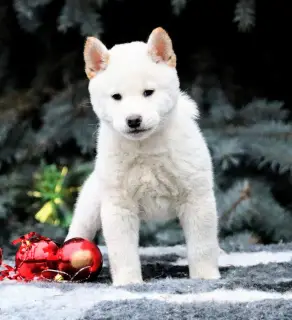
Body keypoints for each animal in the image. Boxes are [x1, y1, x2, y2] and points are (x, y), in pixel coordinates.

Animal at [65, 25, 221, 284]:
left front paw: (206, 277)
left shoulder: (197, 199)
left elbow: (202, 246)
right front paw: (128, 282)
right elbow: (123, 251)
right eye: (116, 97)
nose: (133, 120)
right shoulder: (119, 206)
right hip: (90, 203)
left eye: (148, 92)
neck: (146, 148)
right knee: (79, 229)